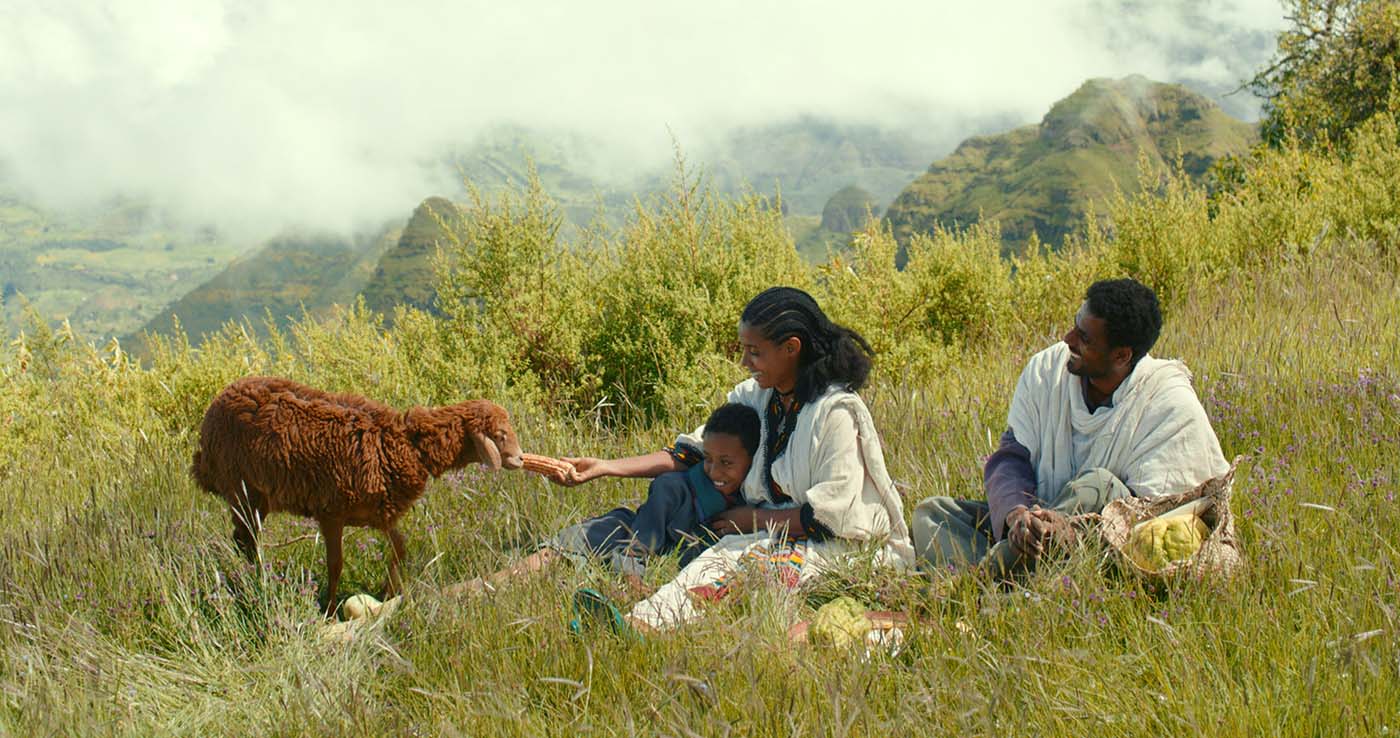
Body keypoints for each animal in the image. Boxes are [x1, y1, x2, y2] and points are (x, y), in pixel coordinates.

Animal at [189, 375, 523, 613]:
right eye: (500, 434)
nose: (520, 459)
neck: (404, 445)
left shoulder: (379, 515)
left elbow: (400, 549)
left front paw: (389, 591)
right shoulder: (331, 514)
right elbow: (335, 565)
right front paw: (329, 609)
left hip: (259, 497)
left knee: (245, 539)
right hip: (240, 489)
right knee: (245, 540)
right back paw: (256, 581)